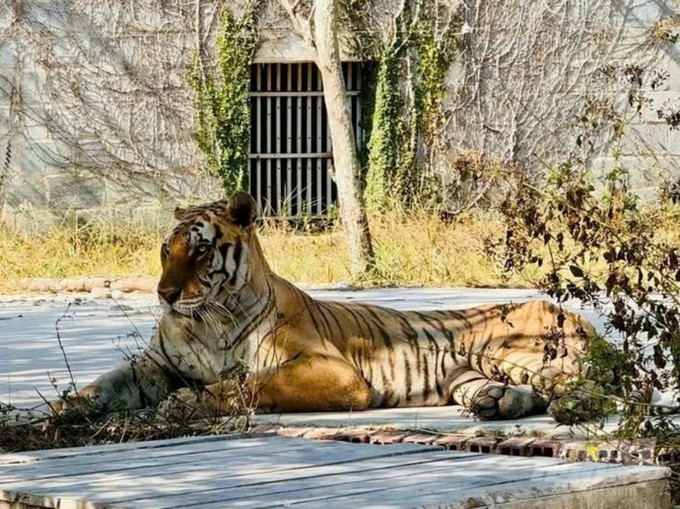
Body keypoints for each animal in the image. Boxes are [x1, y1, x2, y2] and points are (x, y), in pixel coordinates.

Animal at [50, 190, 596, 420]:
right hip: (469, 372)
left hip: (517, 352)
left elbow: (252, 383)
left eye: (200, 251)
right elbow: (109, 381)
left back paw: (572, 406)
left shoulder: (330, 370)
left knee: (595, 386)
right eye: (167, 251)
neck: (204, 322)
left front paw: (186, 402)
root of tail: (570, 312)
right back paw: (498, 403)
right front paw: (66, 406)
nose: (164, 294)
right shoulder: (155, 365)